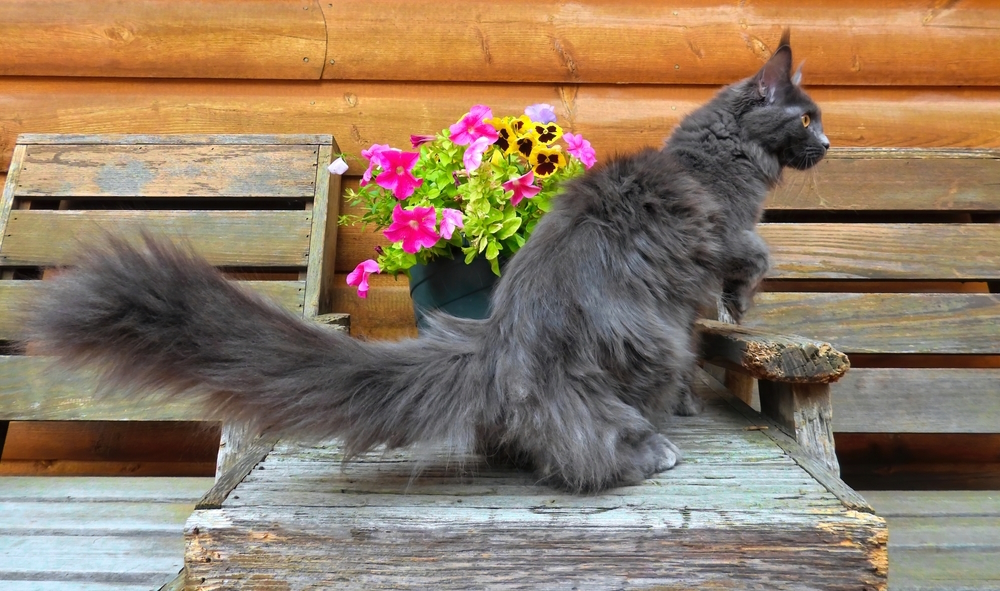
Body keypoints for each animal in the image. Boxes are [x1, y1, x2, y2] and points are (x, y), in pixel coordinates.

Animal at [29, 33, 828, 494]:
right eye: (806, 117)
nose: (828, 143)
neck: (714, 157)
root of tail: (497, 349)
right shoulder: (724, 232)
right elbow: (755, 255)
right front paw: (741, 301)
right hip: (639, 354)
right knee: (586, 453)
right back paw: (653, 450)